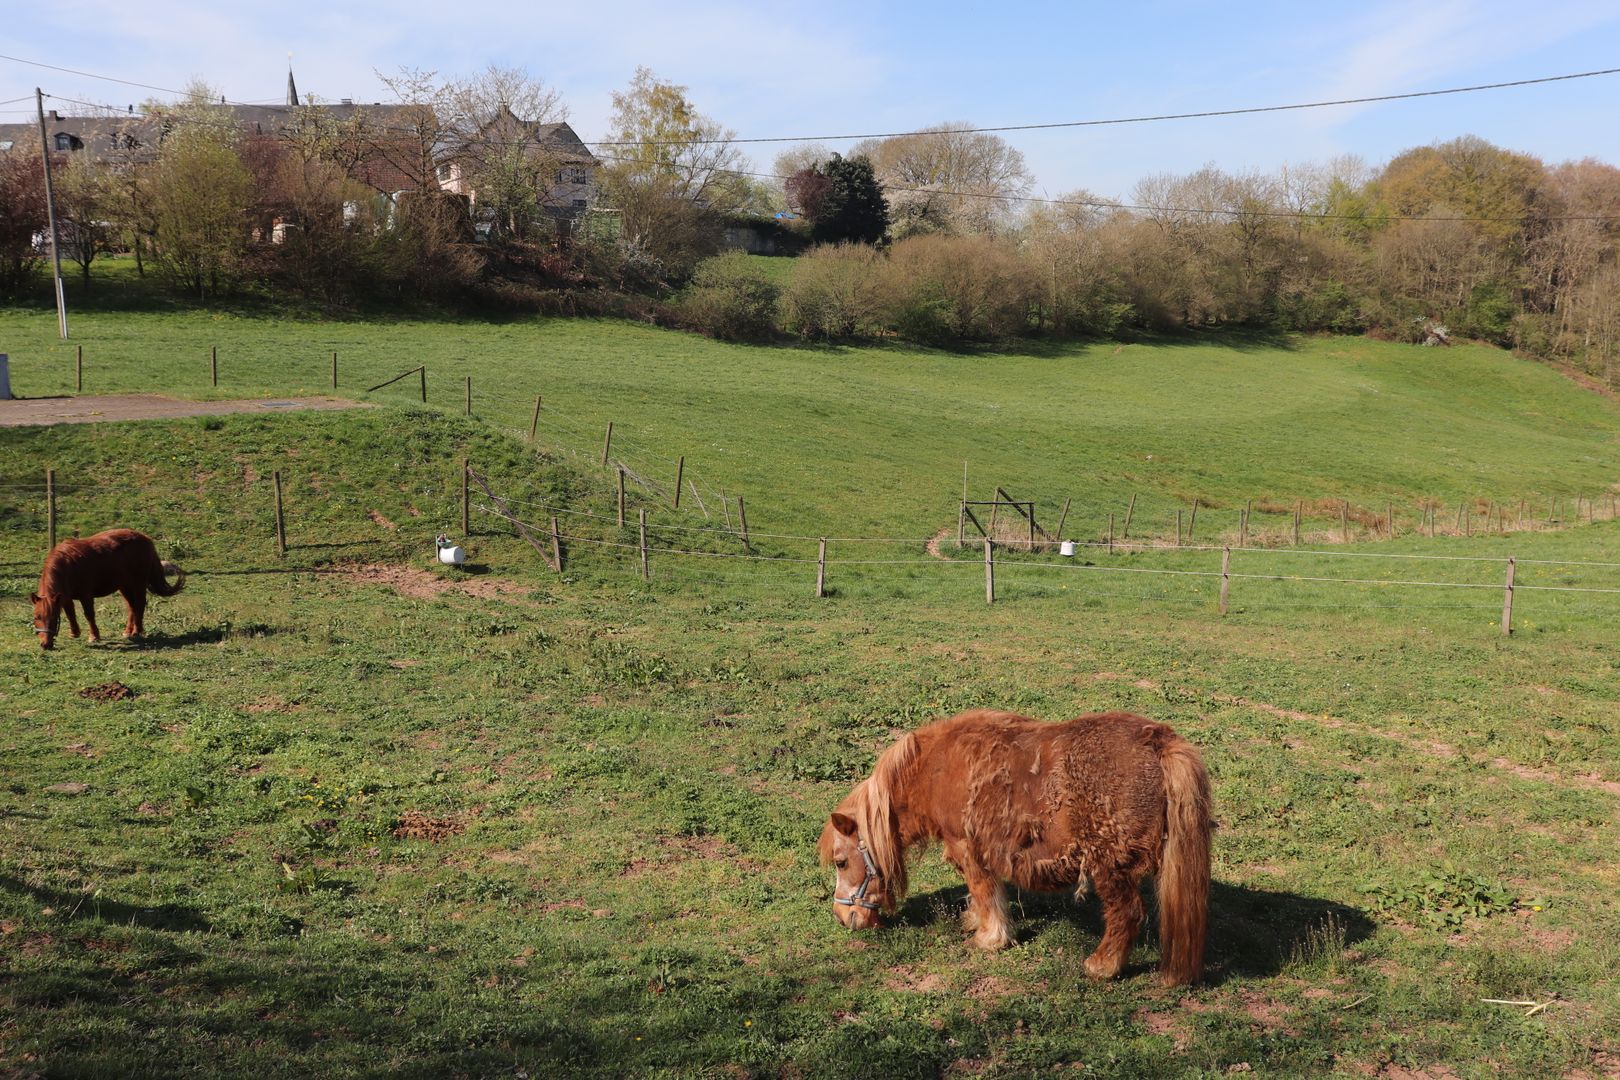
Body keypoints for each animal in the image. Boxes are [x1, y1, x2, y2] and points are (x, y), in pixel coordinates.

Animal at [31, 529, 186, 650]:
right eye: (36, 617)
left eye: (53, 617)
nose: (45, 645)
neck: (67, 565)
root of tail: (146, 538)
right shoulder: (65, 597)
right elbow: (70, 614)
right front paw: (74, 633)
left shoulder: (86, 595)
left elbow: (89, 615)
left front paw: (94, 636)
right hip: (125, 586)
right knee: (131, 606)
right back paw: (127, 632)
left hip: (138, 584)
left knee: (140, 604)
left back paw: (137, 632)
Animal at [819, 708, 1213, 985]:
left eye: (841, 862)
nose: (842, 918)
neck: (934, 769)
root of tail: (1158, 741)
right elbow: (982, 892)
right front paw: (973, 920)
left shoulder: (967, 847)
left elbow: (983, 888)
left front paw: (989, 938)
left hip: (1109, 866)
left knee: (1126, 914)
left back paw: (1101, 966)